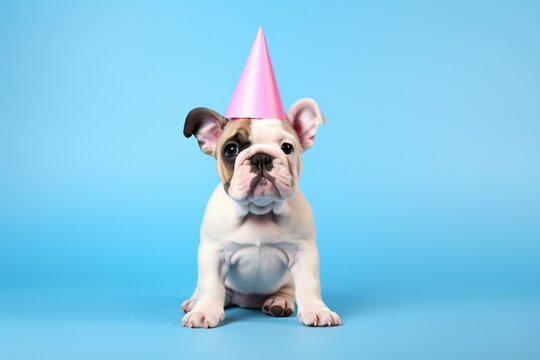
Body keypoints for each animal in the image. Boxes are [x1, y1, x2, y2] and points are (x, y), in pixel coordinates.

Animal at [181, 97, 342, 326]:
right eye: (231, 149)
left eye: (287, 148)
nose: (261, 158)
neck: (258, 211)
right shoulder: (213, 253)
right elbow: (211, 285)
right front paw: (204, 311)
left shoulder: (304, 252)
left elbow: (310, 284)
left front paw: (317, 310)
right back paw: (195, 301)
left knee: (288, 290)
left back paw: (279, 302)